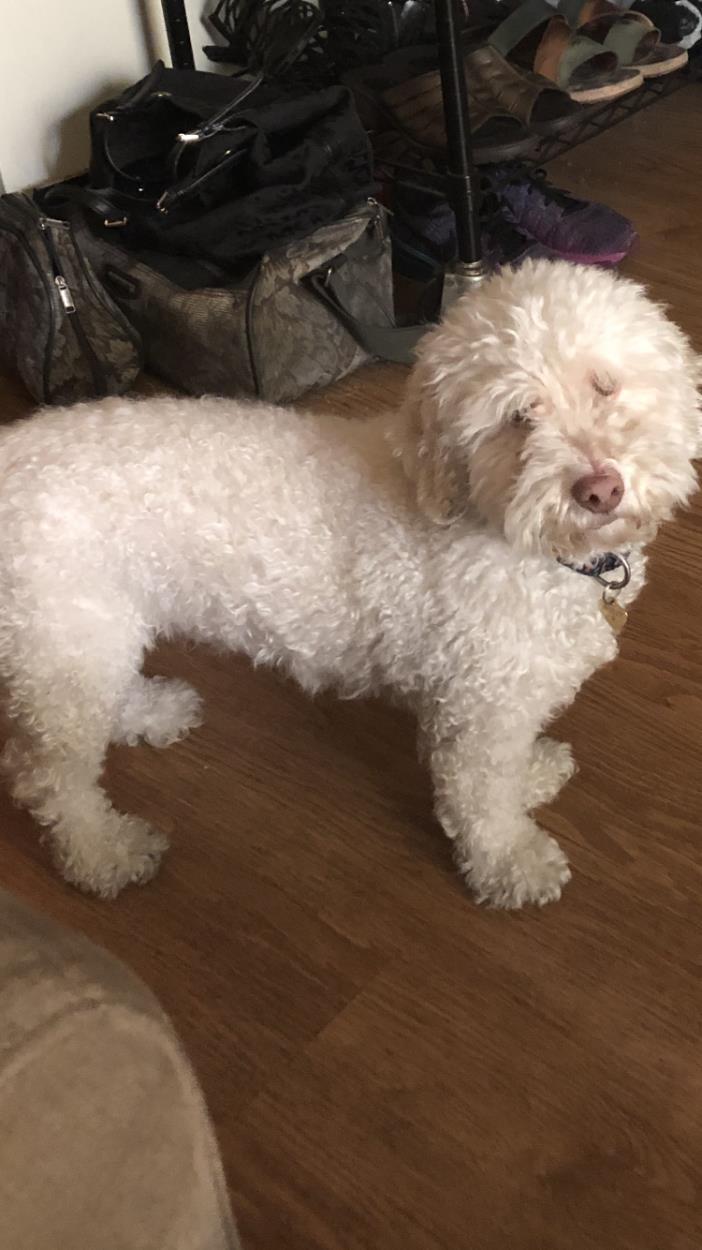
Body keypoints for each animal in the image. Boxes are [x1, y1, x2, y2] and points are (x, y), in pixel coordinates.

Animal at [0, 259, 699, 907]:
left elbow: (503, 768)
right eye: (518, 416)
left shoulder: (489, 698)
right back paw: (105, 854)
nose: (599, 489)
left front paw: (532, 774)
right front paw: (511, 863)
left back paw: (151, 711)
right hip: (65, 639)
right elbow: (480, 797)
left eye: (605, 386)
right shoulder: (482, 706)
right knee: (50, 781)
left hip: (93, 636)